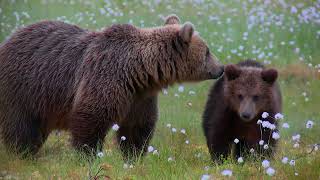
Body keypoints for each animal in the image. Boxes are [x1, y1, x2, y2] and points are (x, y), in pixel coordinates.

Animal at [0, 15, 222, 159]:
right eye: (208, 51)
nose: (221, 68)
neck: (140, 72)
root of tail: (8, 40)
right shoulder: (107, 78)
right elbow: (91, 118)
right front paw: (88, 154)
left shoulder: (139, 98)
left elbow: (137, 126)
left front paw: (135, 154)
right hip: (22, 88)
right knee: (21, 127)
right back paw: (22, 153)